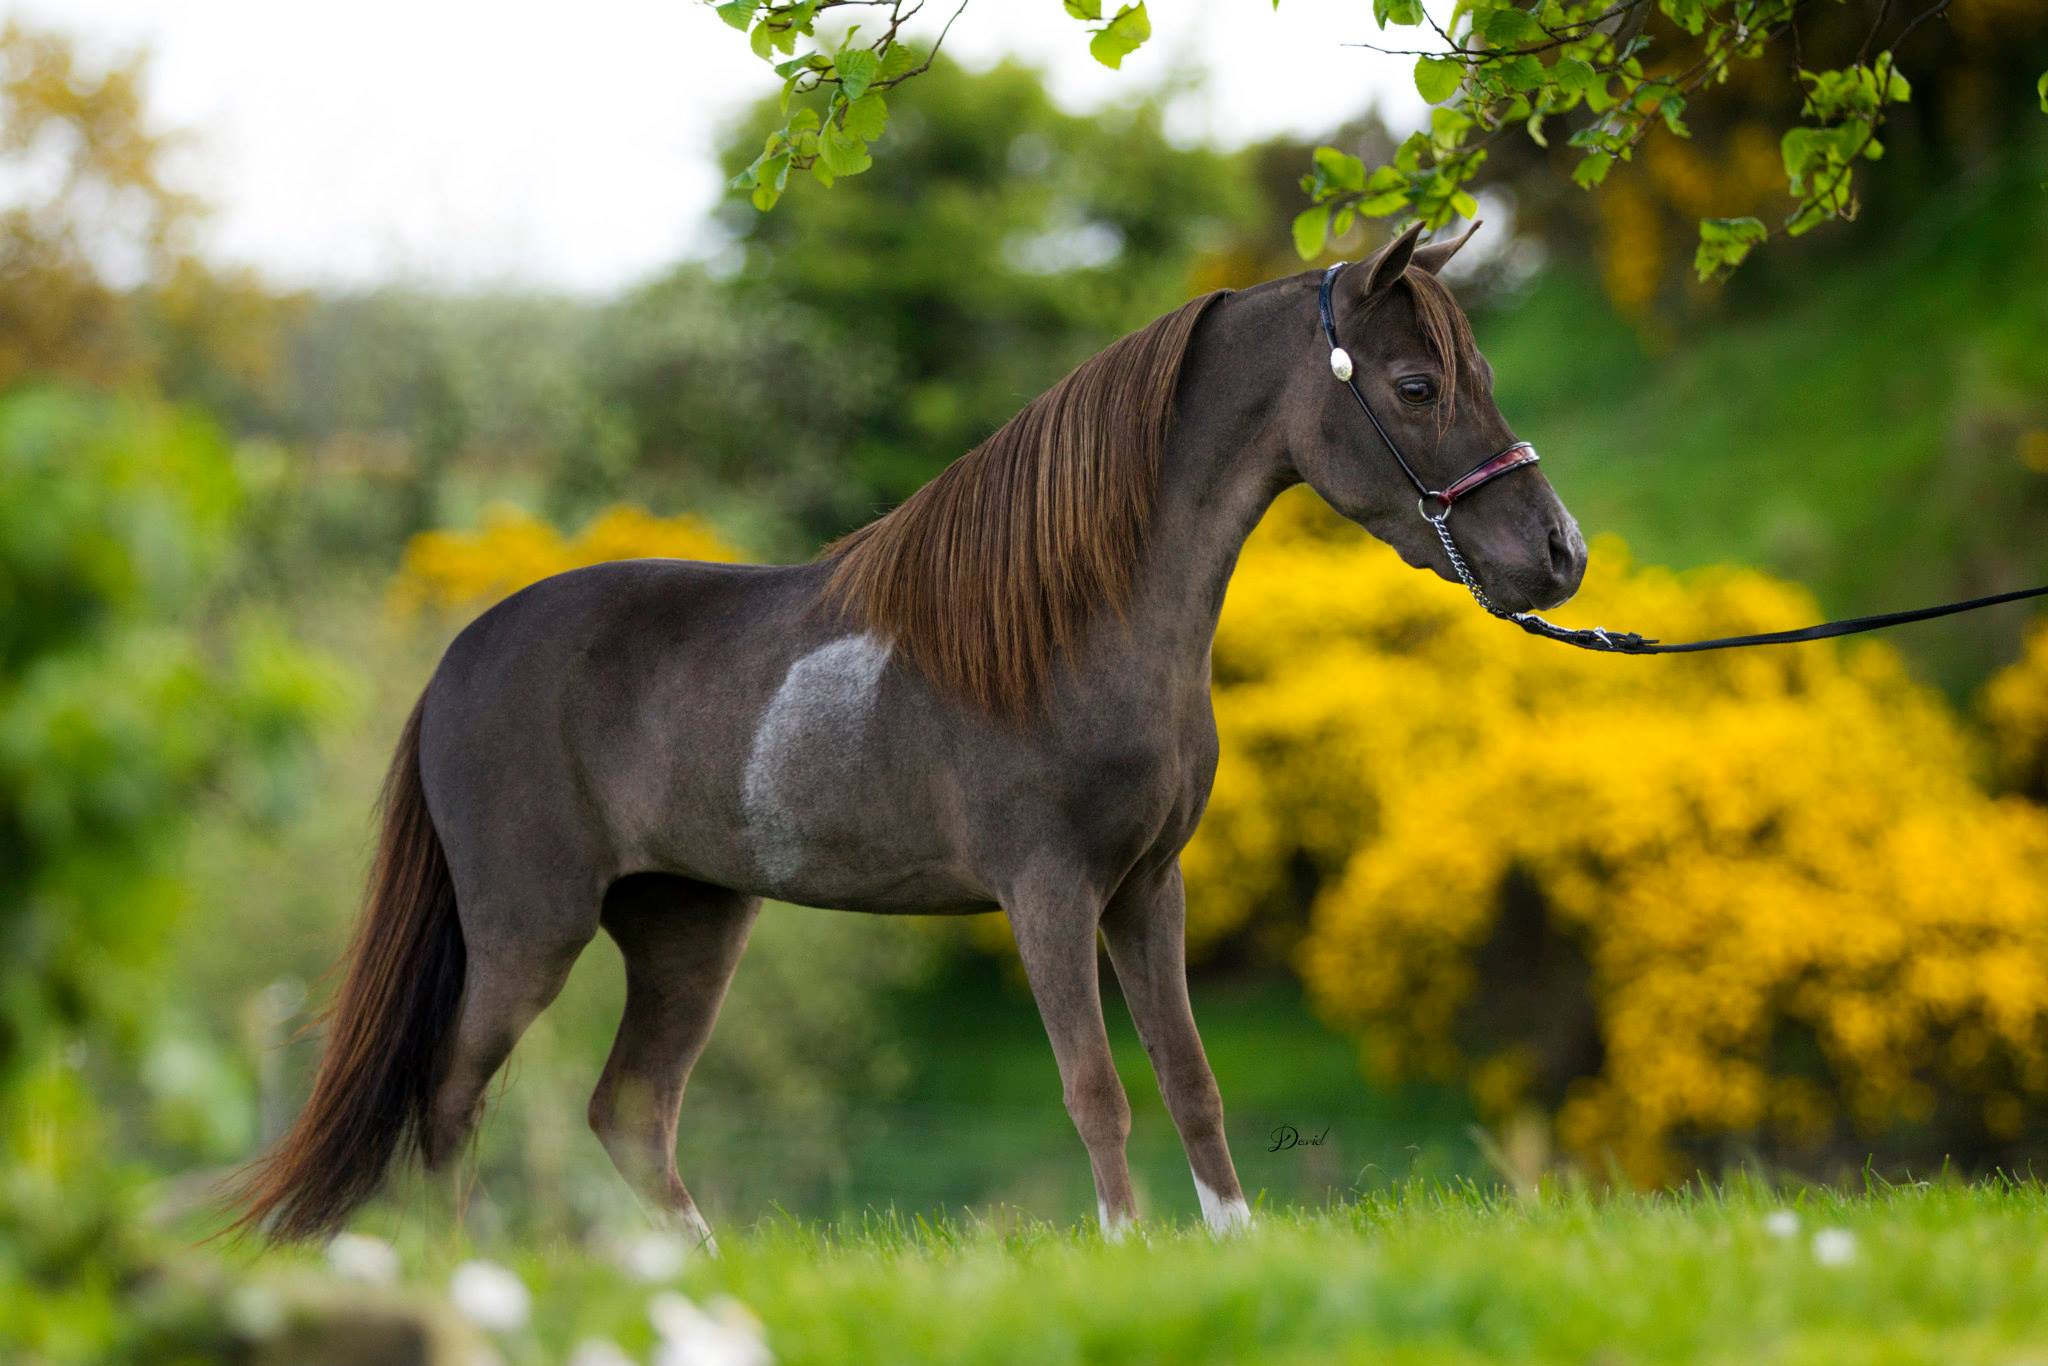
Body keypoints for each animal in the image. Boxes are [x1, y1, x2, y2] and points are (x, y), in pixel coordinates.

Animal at [234, 220, 1587, 1247]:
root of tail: (458, 660)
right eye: (1415, 387)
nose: (1556, 554)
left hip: (686, 925)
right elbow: (1095, 1087)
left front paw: (1231, 1249)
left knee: (630, 1111)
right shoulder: (1046, 892)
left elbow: (1190, 1082)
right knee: (451, 1097)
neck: (1075, 620)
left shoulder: (1149, 887)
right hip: (528, 931)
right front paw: (1126, 1251)